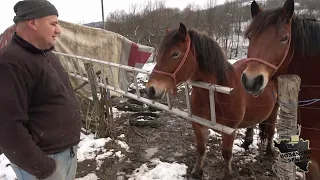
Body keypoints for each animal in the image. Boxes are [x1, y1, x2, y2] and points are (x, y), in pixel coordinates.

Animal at [145, 23, 278, 179]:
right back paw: (246, 144)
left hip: (275, 109)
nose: (151, 89)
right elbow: (201, 148)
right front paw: (197, 172)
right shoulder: (198, 124)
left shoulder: (229, 132)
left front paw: (227, 175)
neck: (215, 92)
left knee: (270, 130)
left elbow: (226, 154)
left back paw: (269, 152)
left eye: (175, 54)